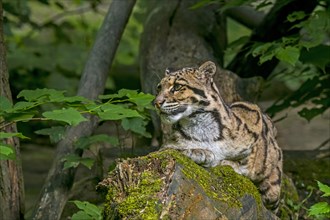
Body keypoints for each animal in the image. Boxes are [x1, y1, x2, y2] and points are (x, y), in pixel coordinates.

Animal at [153, 61, 282, 212]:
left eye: (177, 86)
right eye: (159, 88)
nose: (156, 102)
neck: (199, 123)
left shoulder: (254, 121)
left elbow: (248, 159)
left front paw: (228, 162)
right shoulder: (166, 147)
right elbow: (174, 149)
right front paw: (200, 153)